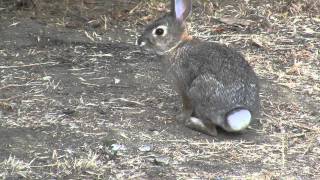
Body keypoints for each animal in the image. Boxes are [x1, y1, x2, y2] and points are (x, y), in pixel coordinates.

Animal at [137, 0, 260, 135]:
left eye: (159, 31)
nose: (139, 42)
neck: (176, 46)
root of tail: (236, 114)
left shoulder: (183, 87)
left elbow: (187, 105)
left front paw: (180, 117)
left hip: (199, 90)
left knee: (212, 131)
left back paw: (191, 122)